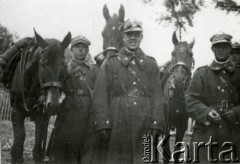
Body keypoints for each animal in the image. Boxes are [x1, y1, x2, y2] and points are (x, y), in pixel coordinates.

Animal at [9, 30, 71, 163]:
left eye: (64, 65)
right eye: (42, 64)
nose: (53, 105)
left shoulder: (41, 116)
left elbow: (38, 144)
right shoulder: (16, 112)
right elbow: (20, 138)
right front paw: (16, 156)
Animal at [159, 31, 195, 163]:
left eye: (191, 54)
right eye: (173, 53)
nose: (179, 79)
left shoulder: (182, 125)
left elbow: (177, 152)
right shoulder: (166, 124)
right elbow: (166, 152)